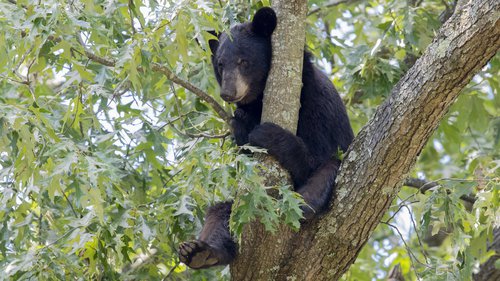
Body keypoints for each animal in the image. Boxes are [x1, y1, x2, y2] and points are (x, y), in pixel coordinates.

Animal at [178, 7, 354, 270]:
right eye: (220, 64)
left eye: (243, 61)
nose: (228, 93)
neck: (259, 99)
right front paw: (241, 123)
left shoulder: (317, 105)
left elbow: (317, 155)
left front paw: (267, 133)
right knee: (220, 213)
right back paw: (200, 252)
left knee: (327, 170)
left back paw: (303, 203)